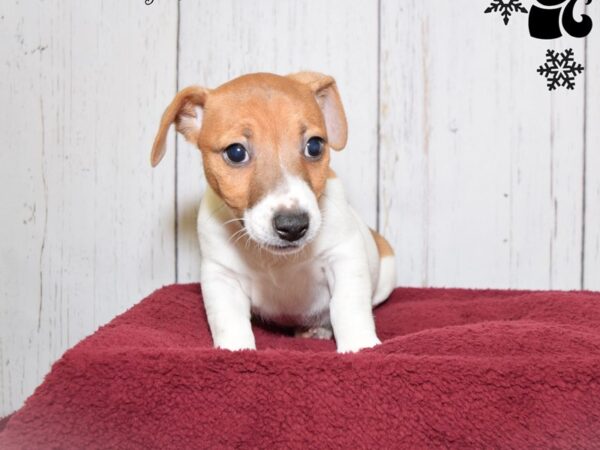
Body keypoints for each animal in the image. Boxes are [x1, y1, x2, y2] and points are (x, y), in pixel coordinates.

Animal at [150, 71, 396, 352]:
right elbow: (229, 322)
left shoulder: (344, 257)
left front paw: (360, 346)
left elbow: (348, 306)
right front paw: (236, 350)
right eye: (236, 152)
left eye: (314, 146)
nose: (293, 226)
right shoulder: (221, 277)